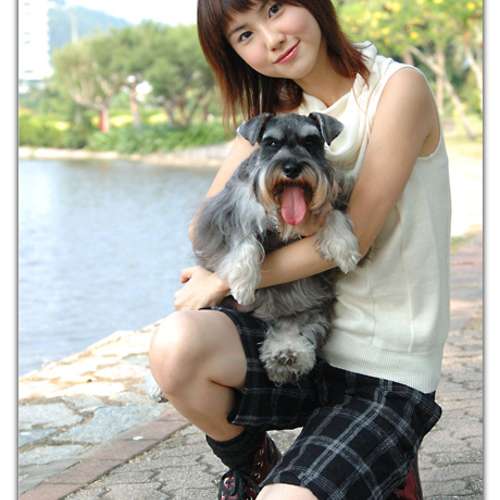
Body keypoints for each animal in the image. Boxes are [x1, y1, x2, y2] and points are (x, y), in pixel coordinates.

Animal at [191, 112, 360, 384]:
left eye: (311, 141)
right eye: (271, 143)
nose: (291, 168)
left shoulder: (337, 197)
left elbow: (333, 214)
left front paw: (344, 248)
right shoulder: (225, 216)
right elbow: (244, 240)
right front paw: (243, 282)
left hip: (312, 302)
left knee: (297, 326)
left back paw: (287, 354)